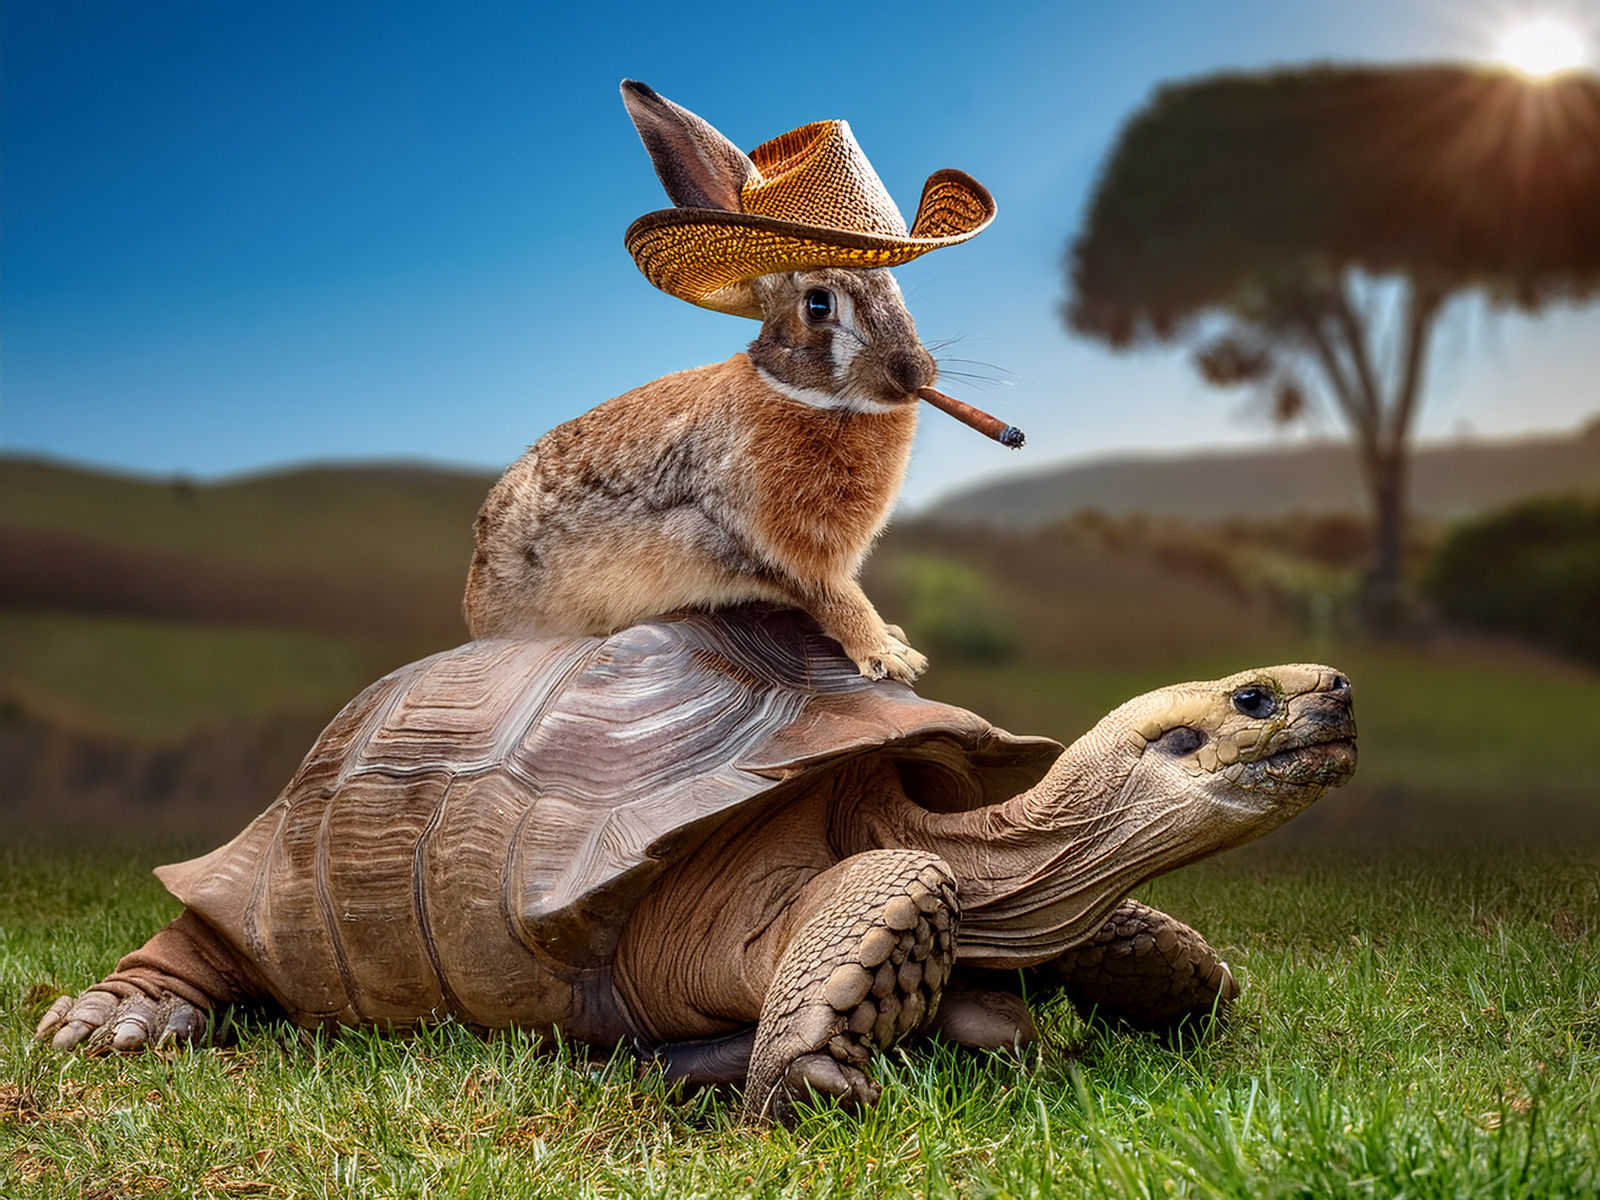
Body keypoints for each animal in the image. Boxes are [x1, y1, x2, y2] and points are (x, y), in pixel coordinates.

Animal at [463, 263, 934, 683]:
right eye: (819, 304)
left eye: (895, 290)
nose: (914, 374)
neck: (794, 392)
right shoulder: (764, 541)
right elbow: (832, 597)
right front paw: (890, 656)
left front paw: (892, 638)